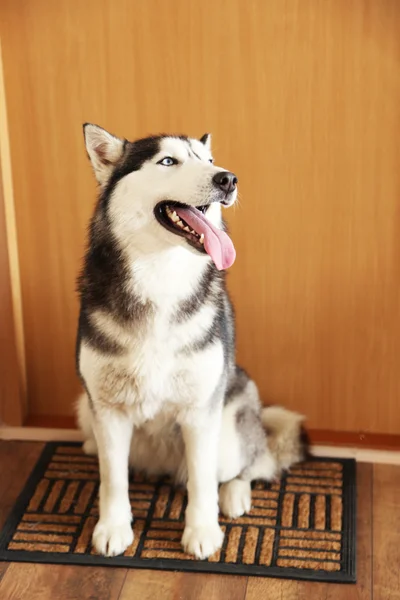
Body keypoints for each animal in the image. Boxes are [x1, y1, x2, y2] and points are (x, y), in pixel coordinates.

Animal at [76, 124, 310, 560]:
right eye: (168, 161)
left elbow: (202, 483)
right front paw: (113, 526)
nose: (228, 179)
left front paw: (202, 532)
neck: (160, 279)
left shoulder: (201, 414)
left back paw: (236, 495)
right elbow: (112, 479)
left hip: (229, 433)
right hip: (85, 406)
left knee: (252, 464)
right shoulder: (108, 411)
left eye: (208, 160)